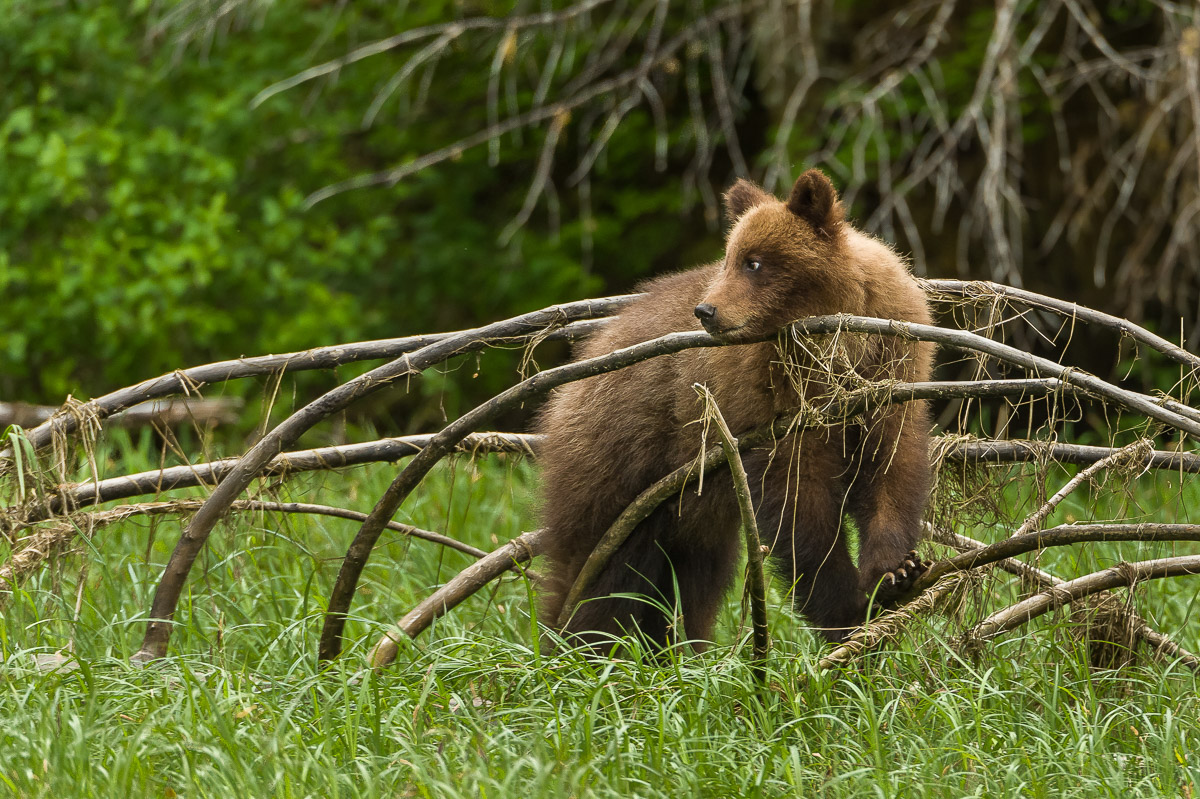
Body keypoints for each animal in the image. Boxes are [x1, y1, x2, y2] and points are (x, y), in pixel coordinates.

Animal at [536, 169, 934, 651]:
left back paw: (677, 647)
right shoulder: (770, 406)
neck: (835, 347)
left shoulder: (890, 371)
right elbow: (799, 503)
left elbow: (890, 466)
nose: (706, 310)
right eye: (729, 258)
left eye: (754, 262)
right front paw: (844, 609)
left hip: (693, 509)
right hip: (622, 467)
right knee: (603, 573)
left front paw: (893, 571)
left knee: (692, 580)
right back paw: (582, 646)